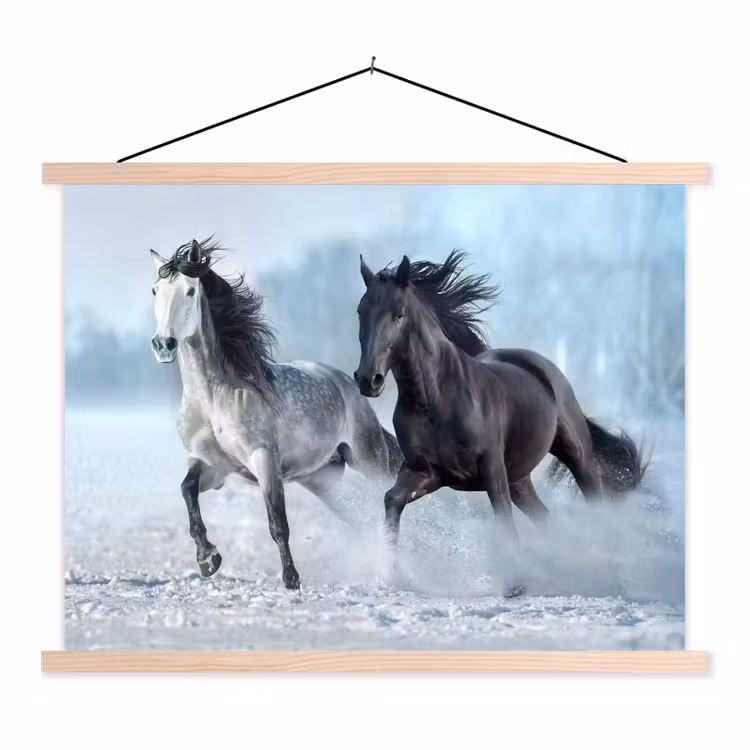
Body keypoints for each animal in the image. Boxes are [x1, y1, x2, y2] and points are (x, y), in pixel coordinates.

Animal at [150, 238, 402, 589]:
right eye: (155, 290)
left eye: (189, 291)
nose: (164, 344)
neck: (214, 399)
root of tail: (346, 383)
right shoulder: (212, 465)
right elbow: (187, 492)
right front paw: (208, 559)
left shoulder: (264, 460)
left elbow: (277, 522)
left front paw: (291, 579)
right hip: (322, 480)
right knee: (361, 517)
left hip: (369, 459)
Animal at [354, 250, 645, 587]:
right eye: (360, 312)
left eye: (398, 315)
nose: (368, 380)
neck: (435, 400)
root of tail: (540, 366)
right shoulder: (427, 471)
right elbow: (392, 499)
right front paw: (391, 572)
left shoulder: (491, 468)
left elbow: (503, 519)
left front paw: (515, 584)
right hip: (519, 478)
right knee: (544, 518)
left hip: (576, 455)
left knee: (592, 498)